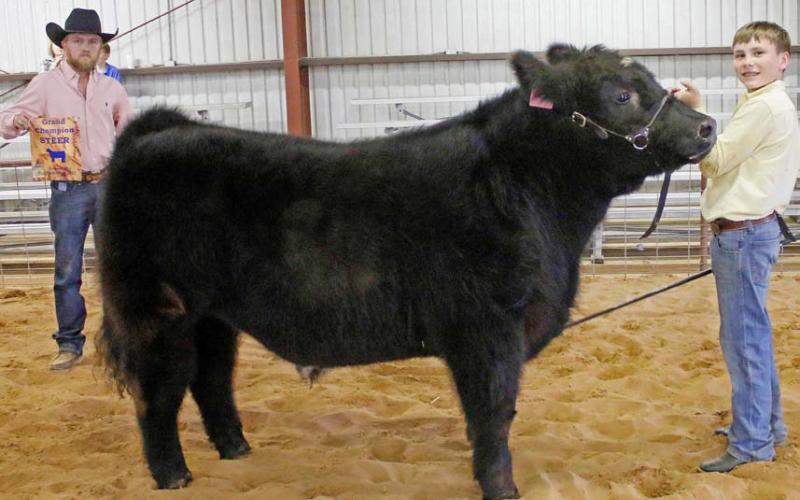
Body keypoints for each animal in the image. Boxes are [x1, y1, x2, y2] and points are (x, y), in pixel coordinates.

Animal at [96, 44, 715, 499]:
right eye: (622, 94)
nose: (708, 126)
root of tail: (155, 132)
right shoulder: (489, 329)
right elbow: (494, 413)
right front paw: (501, 487)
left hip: (213, 315)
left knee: (212, 380)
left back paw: (236, 451)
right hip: (155, 308)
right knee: (158, 392)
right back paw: (173, 475)